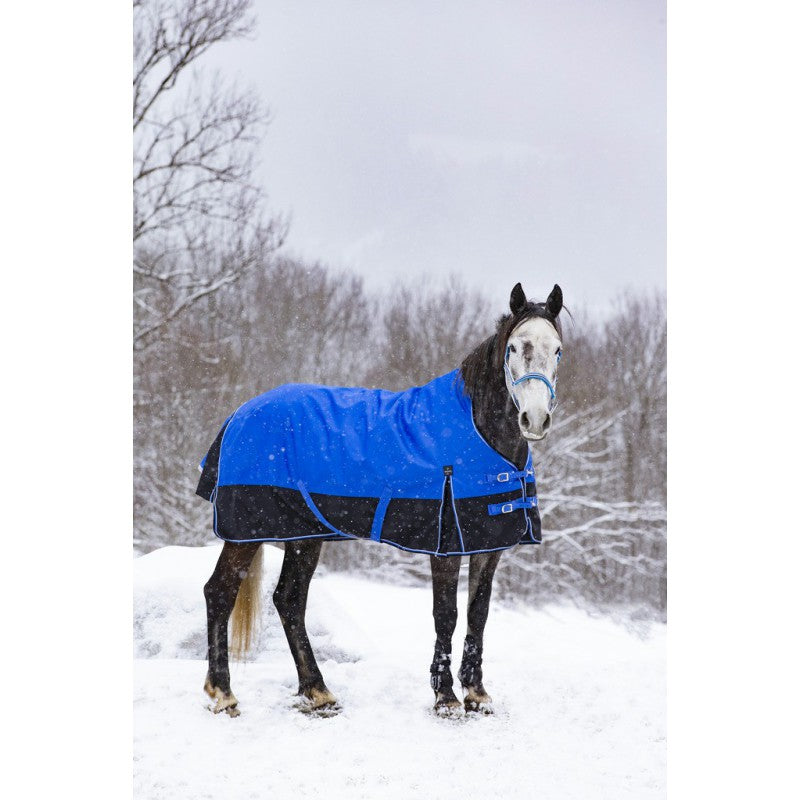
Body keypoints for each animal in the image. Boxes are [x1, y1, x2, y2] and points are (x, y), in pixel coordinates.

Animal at [198, 281, 564, 717]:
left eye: (557, 349)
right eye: (514, 347)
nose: (535, 420)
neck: (479, 432)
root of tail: (239, 414)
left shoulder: (488, 544)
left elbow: (479, 614)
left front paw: (477, 694)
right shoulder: (446, 544)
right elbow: (446, 614)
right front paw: (445, 698)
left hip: (305, 535)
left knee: (289, 600)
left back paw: (317, 691)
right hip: (246, 531)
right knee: (220, 592)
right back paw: (224, 694)